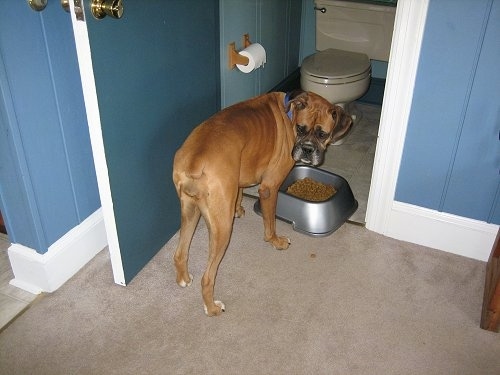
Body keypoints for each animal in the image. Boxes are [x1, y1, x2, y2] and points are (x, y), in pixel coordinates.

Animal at [172, 91, 352, 318]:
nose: (307, 149)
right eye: (301, 129)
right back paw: (212, 307)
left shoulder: (239, 177)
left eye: (322, 134)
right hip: (222, 229)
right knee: (207, 277)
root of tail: (196, 160)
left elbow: (239, 193)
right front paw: (275, 241)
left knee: (180, 253)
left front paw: (238, 209)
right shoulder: (269, 188)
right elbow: (270, 222)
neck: (290, 113)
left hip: (190, 212)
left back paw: (184, 279)